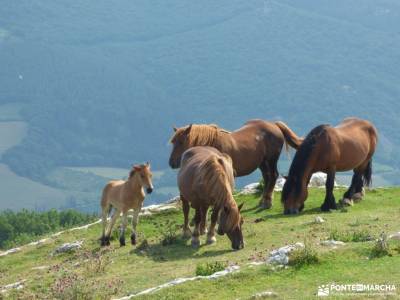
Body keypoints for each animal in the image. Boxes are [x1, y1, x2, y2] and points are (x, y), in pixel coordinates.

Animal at [170, 119, 304, 209]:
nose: (171, 163)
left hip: (271, 159)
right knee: (267, 177)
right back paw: (263, 201)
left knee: (273, 176)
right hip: (262, 162)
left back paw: (267, 202)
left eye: (181, 142)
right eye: (173, 142)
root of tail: (274, 125)